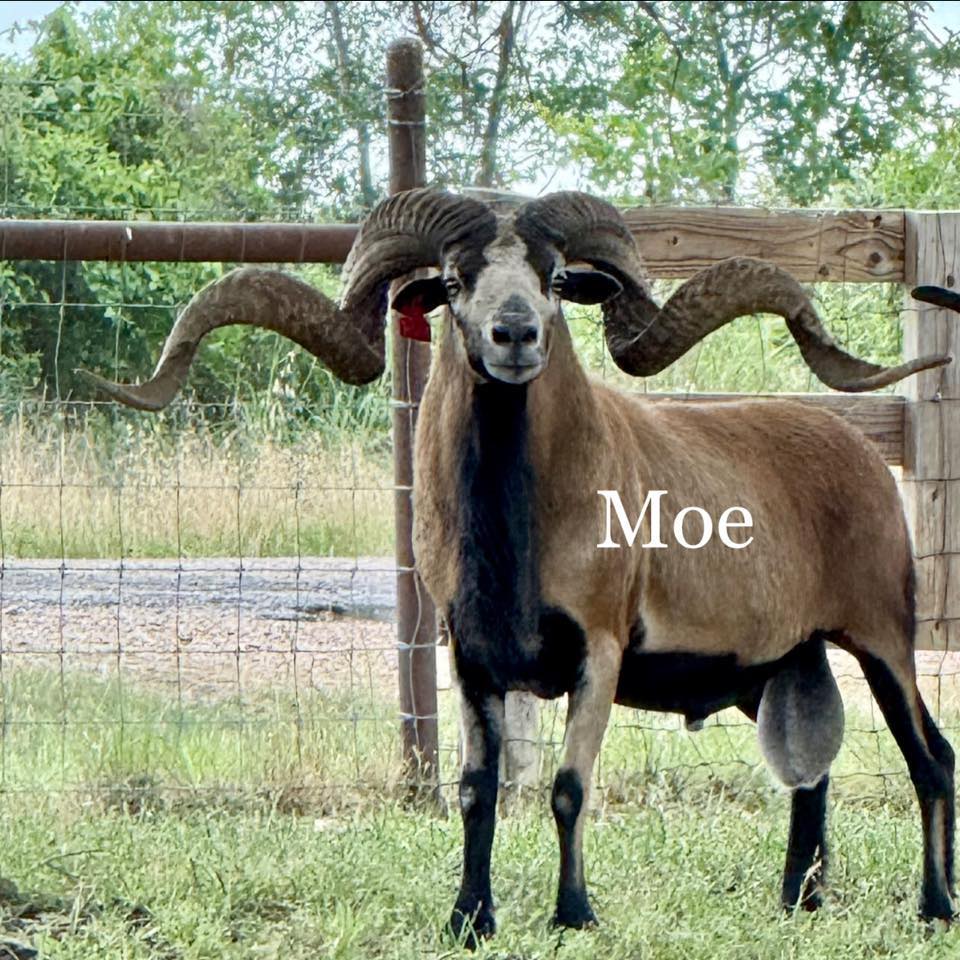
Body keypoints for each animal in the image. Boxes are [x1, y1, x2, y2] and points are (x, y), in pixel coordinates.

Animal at [84, 189, 956, 945]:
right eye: (455, 282)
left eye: (558, 280)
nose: (514, 335)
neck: (517, 537)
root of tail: (865, 455)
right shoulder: (470, 657)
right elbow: (477, 794)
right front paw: (469, 919)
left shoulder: (598, 652)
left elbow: (568, 788)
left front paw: (574, 915)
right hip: (775, 666)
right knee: (813, 778)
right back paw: (799, 902)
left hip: (884, 637)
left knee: (931, 758)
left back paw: (935, 907)